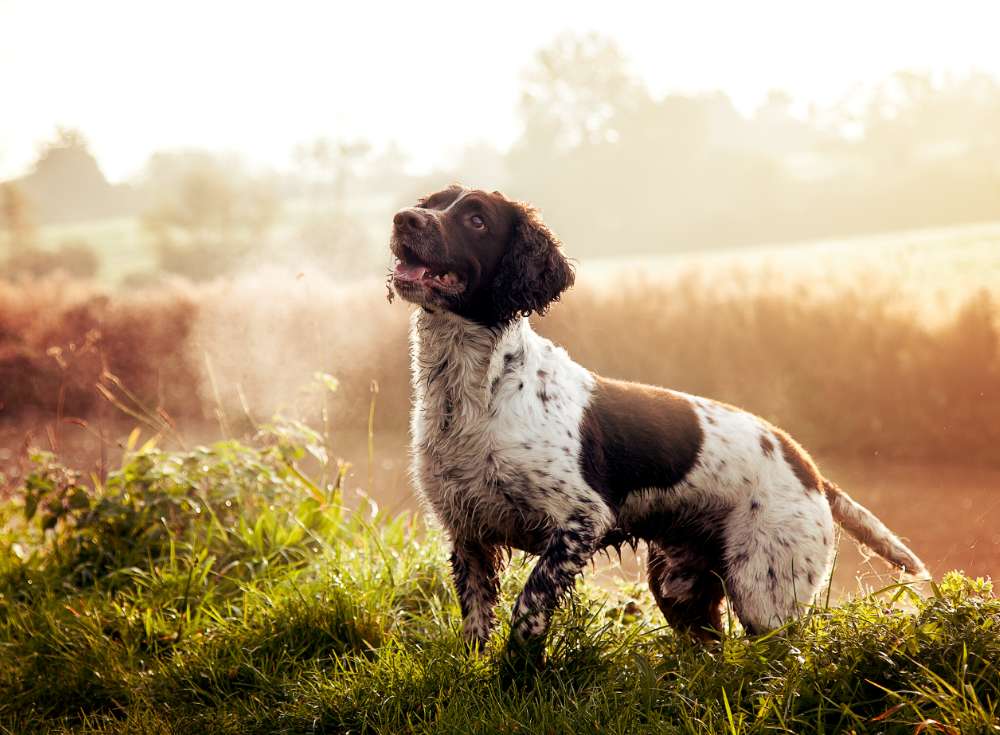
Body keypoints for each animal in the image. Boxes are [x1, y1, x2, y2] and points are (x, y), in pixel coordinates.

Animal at [386, 187, 924, 660]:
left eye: (476, 220)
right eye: (430, 202)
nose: (403, 219)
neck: (476, 391)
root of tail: (808, 466)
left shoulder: (581, 520)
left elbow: (529, 608)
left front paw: (517, 675)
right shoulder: (467, 533)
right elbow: (476, 626)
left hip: (766, 593)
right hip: (679, 584)